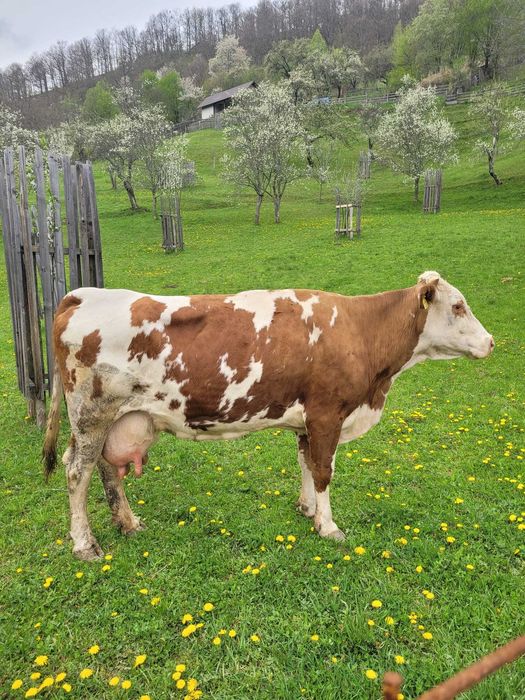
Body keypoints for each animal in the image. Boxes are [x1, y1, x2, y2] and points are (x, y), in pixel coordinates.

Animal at [43, 271, 494, 561]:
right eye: (458, 305)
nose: (491, 341)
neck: (360, 332)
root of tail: (81, 295)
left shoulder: (307, 419)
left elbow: (306, 463)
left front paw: (307, 509)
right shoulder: (328, 413)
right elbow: (324, 470)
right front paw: (329, 526)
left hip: (116, 418)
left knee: (106, 469)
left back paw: (128, 522)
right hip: (90, 415)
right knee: (76, 472)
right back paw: (85, 545)